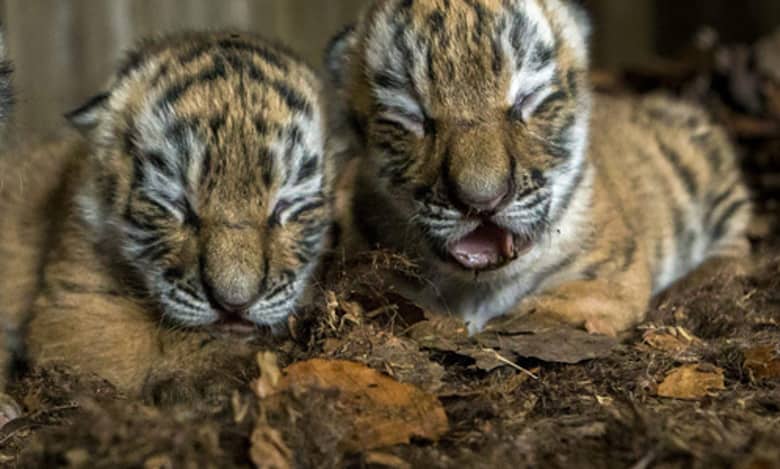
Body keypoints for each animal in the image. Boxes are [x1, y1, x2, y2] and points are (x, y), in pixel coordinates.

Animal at [325, 0, 752, 336]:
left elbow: (539, 310)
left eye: (528, 100)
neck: (476, 288)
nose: (482, 202)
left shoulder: (607, 276)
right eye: (411, 116)